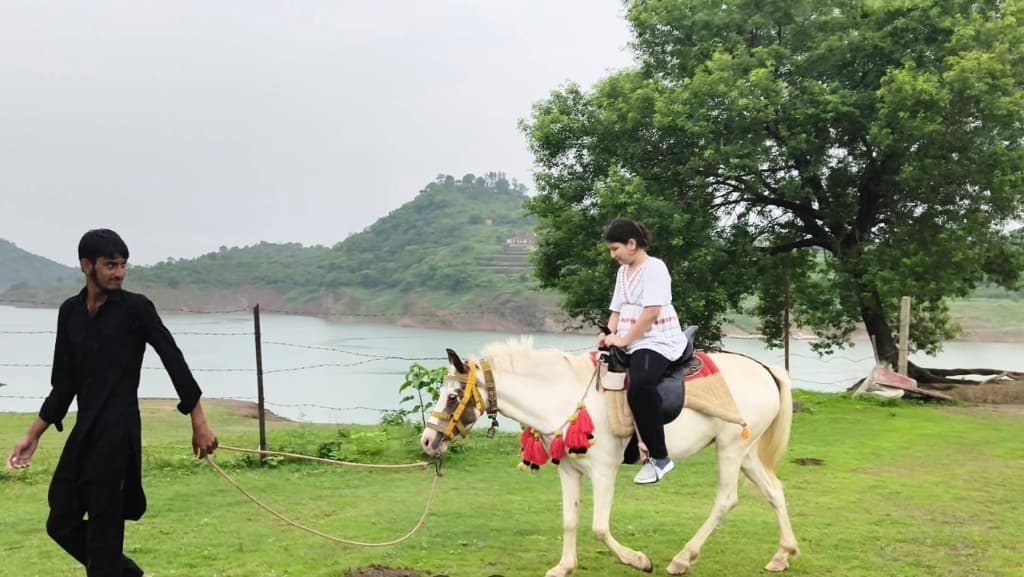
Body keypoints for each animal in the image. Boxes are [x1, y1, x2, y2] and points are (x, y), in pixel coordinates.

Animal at [419, 338, 799, 576]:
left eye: (453, 396)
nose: (427, 440)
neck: (565, 394)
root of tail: (766, 369)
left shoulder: (603, 472)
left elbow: (599, 528)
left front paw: (639, 561)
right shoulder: (568, 470)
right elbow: (570, 520)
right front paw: (564, 567)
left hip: (730, 449)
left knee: (726, 500)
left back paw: (682, 559)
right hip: (745, 452)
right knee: (775, 491)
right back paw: (782, 554)